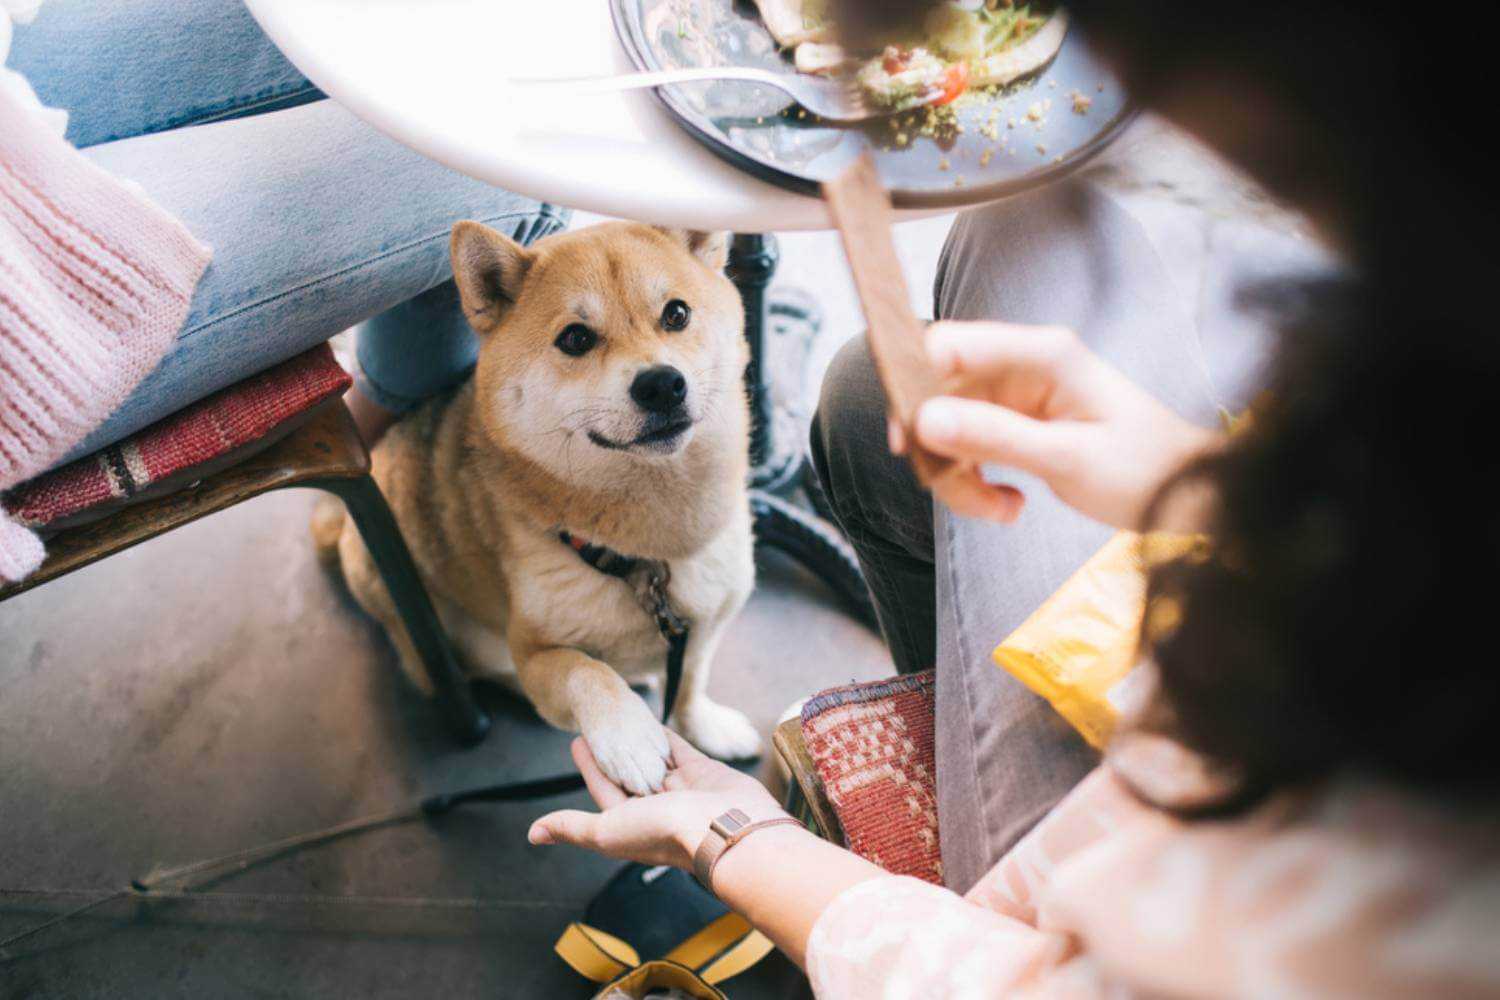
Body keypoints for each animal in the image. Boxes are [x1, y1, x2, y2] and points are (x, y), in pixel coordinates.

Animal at [319, 220, 762, 797]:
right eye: (575, 338)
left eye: (677, 314)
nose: (662, 384)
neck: (649, 552)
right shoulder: (536, 652)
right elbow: (584, 671)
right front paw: (628, 736)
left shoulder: (703, 624)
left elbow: (689, 683)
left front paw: (704, 727)